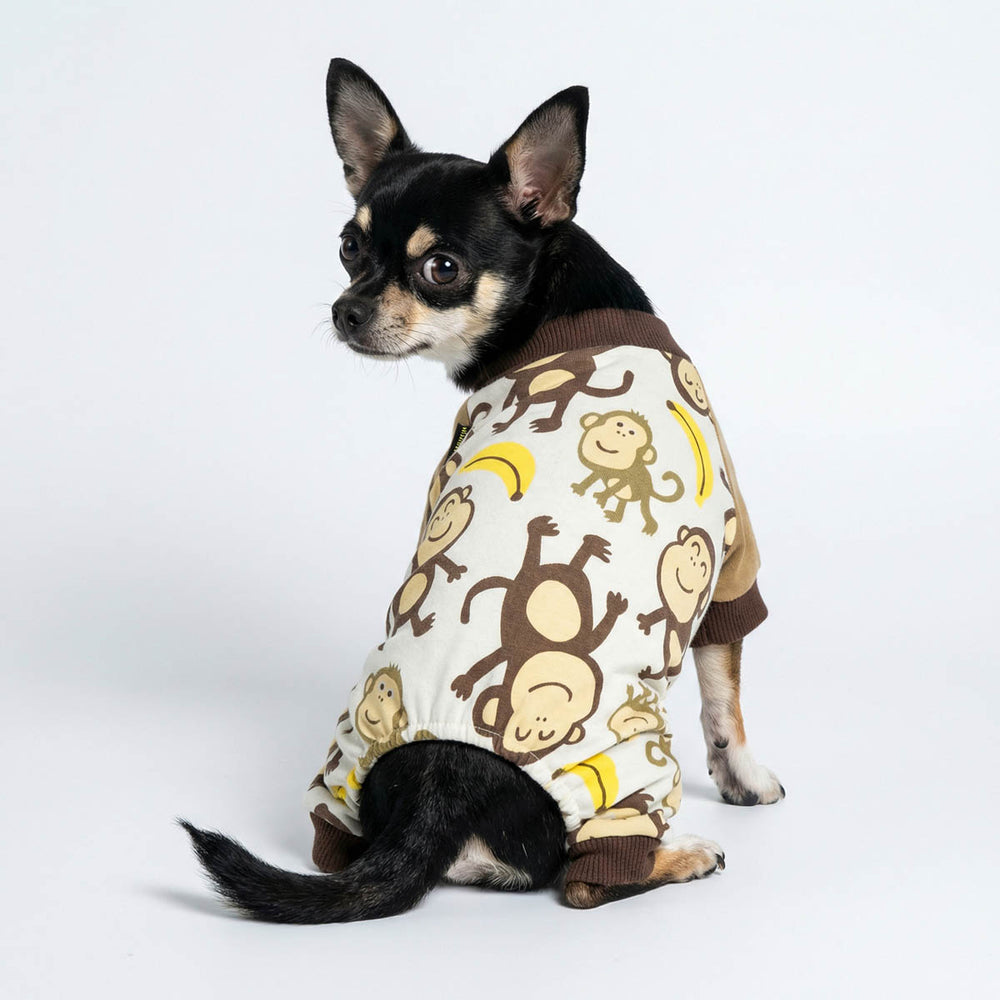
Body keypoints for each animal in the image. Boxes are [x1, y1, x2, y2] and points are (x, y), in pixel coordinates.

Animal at [385, 485, 474, 641]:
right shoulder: (434, 556)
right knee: (412, 614)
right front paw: (457, 572)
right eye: (437, 518)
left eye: (450, 505)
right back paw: (424, 626)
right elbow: (444, 561)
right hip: (419, 582)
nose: (443, 517)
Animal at [449, 515, 627, 766]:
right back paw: (541, 530)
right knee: (532, 560)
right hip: (523, 588)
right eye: (522, 734)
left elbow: (593, 639)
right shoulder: (515, 655)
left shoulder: (578, 646)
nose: (540, 718)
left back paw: (587, 546)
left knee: (568, 565)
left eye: (546, 735)